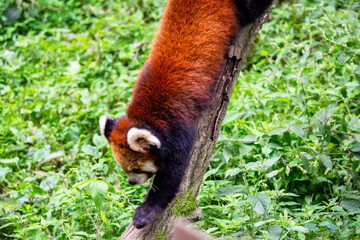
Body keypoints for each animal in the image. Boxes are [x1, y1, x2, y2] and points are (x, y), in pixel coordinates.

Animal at [100, 0, 272, 230]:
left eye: (135, 169)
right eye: (125, 169)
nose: (131, 182)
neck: (148, 116)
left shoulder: (178, 128)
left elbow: (172, 177)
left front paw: (145, 212)